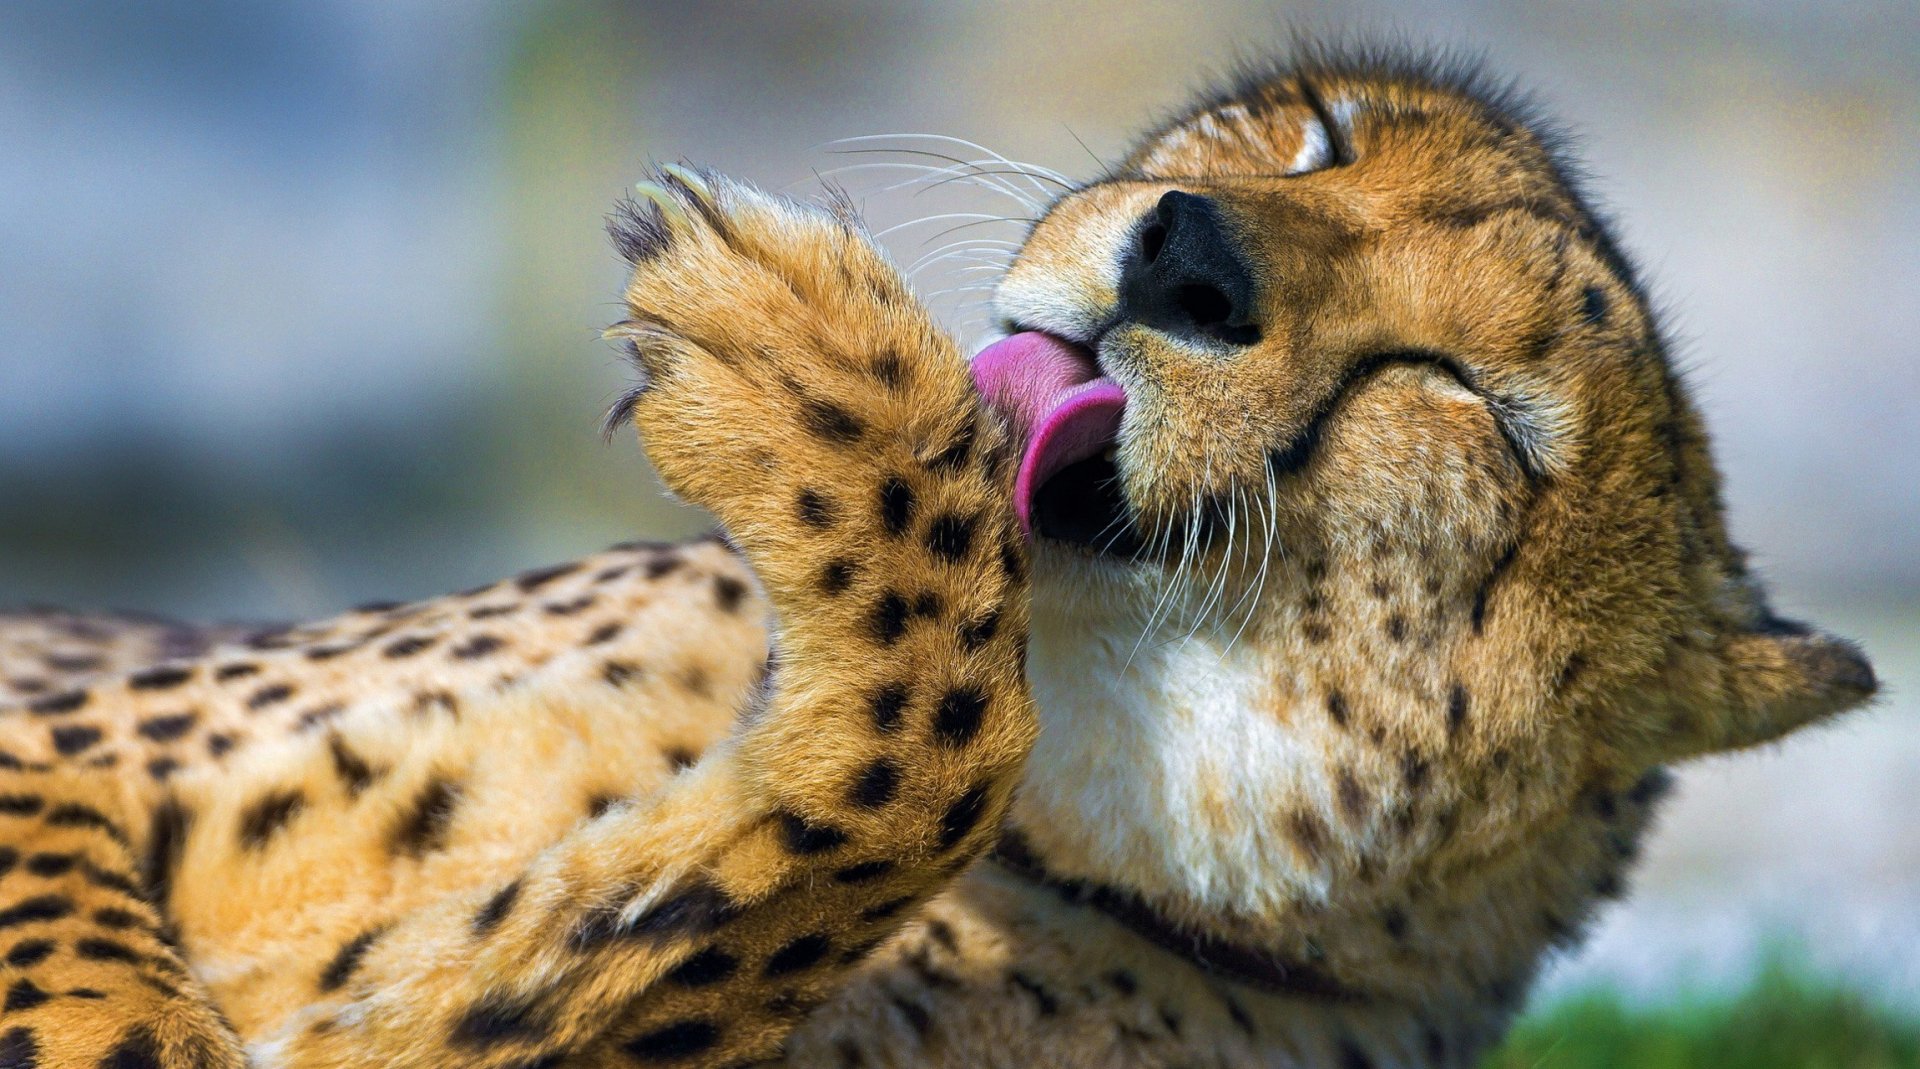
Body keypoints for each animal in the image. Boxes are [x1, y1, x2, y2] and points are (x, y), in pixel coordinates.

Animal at [0, 44, 1876, 1069]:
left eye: (1468, 396)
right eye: (1320, 132)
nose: (1183, 254)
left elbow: (903, 766)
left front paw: (810, 378)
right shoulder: (57, 758)